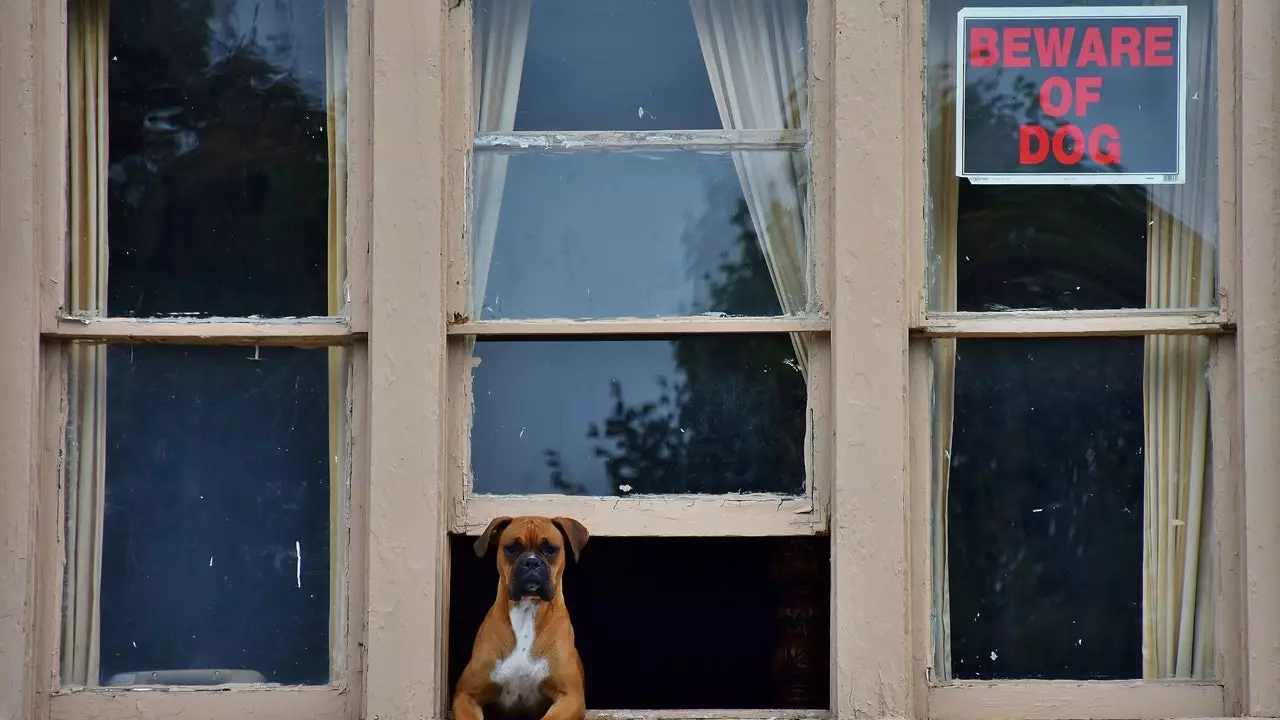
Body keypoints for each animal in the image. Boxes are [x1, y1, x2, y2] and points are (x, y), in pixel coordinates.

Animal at [455, 512, 588, 717]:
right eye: (512, 548)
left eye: (550, 549)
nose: (531, 562)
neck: (527, 611)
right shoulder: (465, 695)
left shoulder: (571, 697)